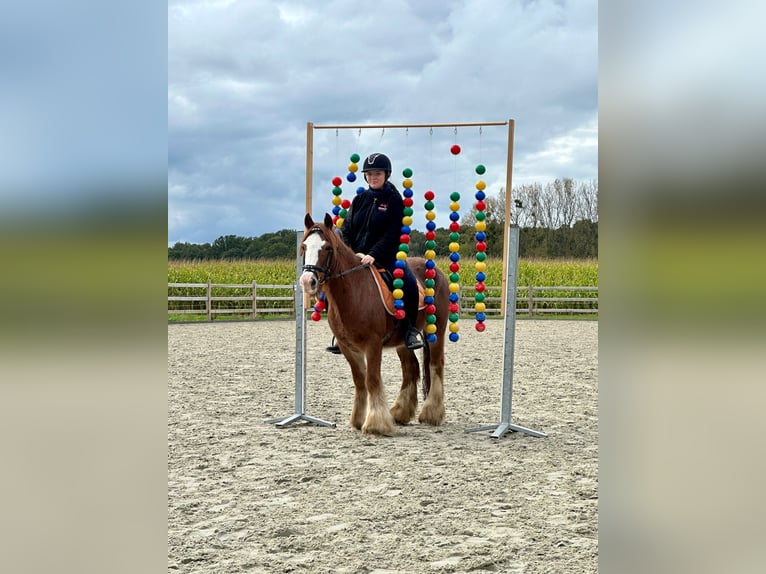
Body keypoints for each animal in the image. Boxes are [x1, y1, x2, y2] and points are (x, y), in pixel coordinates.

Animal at [298, 215, 450, 436]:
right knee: (410, 368)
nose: (307, 281)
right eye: (304, 246)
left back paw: (432, 413)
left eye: (327, 248)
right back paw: (400, 412)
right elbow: (359, 380)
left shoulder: (373, 344)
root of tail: (437, 270)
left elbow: (372, 379)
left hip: (437, 331)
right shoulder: (347, 346)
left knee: (436, 365)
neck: (354, 291)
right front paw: (358, 419)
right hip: (402, 342)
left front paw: (375, 423)